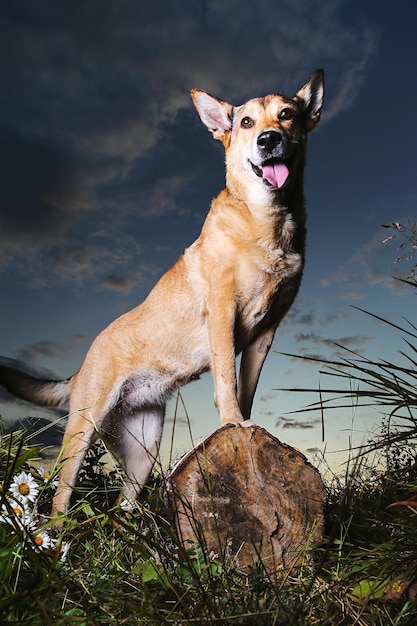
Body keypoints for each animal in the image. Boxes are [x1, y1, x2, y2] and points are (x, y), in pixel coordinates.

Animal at [0, 69, 322, 516]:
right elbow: (227, 382)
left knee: (122, 509)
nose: (268, 140)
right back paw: (58, 534)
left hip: (143, 454)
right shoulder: (223, 312)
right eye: (246, 122)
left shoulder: (266, 332)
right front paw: (231, 424)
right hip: (82, 434)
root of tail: (82, 364)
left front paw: (247, 428)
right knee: (61, 499)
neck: (266, 222)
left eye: (287, 114)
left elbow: (247, 388)